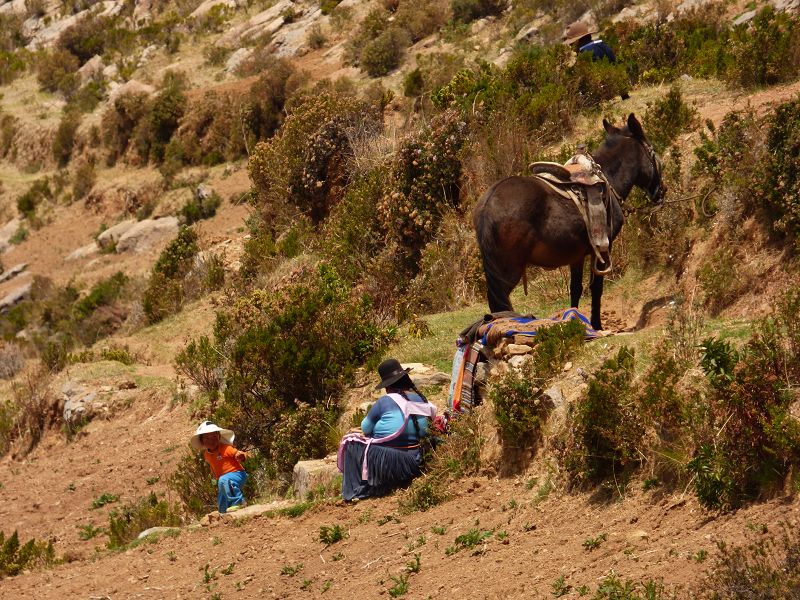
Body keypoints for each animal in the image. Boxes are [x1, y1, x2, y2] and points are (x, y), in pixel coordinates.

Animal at [472, 115, 664, 330]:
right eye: (652, 152)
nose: (661, 191)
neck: (607, 179)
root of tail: (488, 204)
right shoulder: (603, 248)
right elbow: (596, 288)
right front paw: (596, 326)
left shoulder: (577, 255)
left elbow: (576, 288)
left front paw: (575, 322)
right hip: (508, 270)